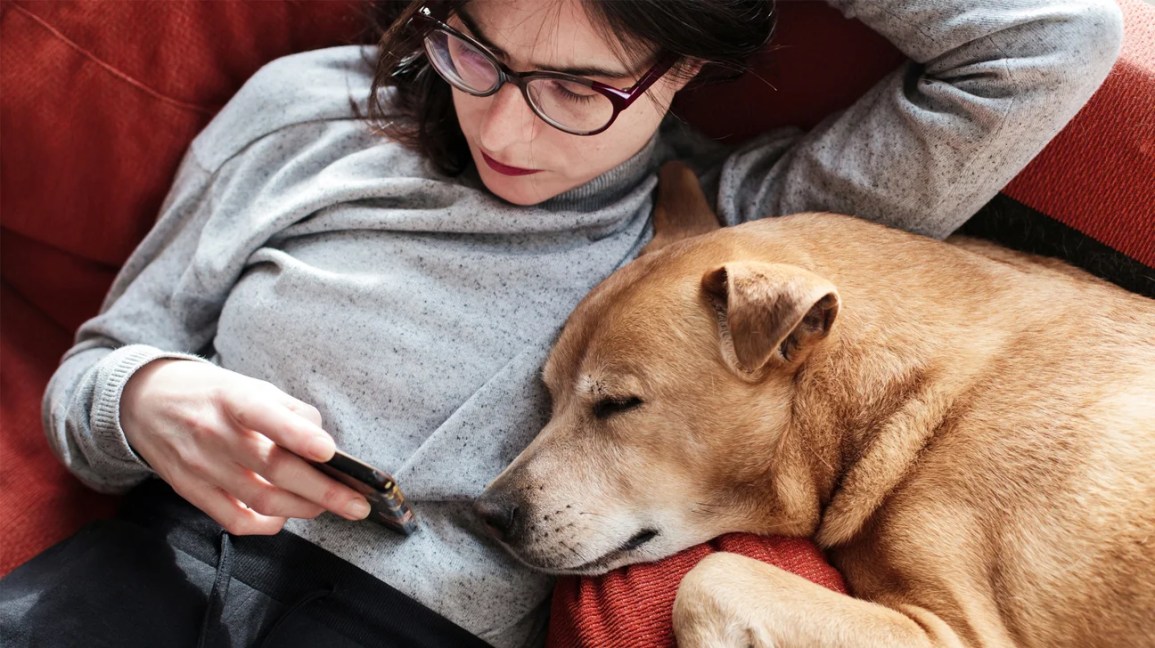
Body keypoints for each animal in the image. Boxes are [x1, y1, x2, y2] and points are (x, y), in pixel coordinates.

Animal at [471, 161, 1155, 646]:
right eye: (549, 394)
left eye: (617, 403)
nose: (488, 514)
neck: (918, 403)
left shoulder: (957, 634)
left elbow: (709, 577)